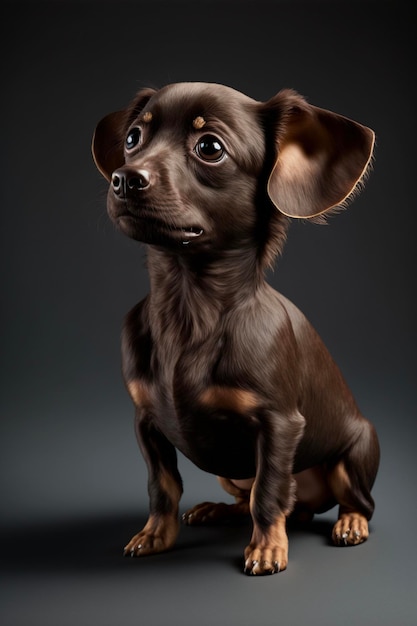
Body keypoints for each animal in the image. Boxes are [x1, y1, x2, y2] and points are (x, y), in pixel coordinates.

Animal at [92, 80, 378, 572]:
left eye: (210, 147)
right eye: (132, 138)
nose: (124, 177)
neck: (188, 310)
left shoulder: (279, 425)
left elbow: (269, 492)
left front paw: (267, 548)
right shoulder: (146, 422)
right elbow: (162, 486)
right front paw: (155, 535)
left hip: (354, 455)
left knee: (348, 501)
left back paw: (350, 522)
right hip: (231, 473)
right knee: (267, 501)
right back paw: (219, 510)